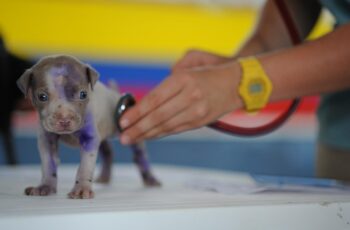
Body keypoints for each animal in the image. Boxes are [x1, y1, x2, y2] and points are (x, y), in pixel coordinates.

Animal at [17, 54, 161, 199]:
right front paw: (45, 187)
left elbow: (85, 166)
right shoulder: (46, 139)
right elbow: (48, 164)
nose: (64, 119)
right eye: (42, 97)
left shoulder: (90, 139)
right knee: (108, 152)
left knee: (139, 155)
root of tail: (114, 93)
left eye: (83, 94)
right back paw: (105, 177)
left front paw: (81, 189)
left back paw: (150, 179)